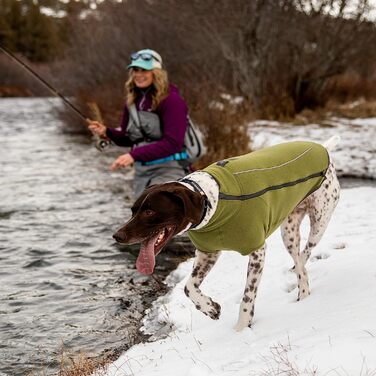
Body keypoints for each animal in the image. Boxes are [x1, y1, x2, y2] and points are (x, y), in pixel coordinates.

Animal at [112, 137, 340, 330]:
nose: (117, 236)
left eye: (150, 211)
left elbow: (247, 297)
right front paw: (210, 308)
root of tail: (322, 146)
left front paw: (241, 329)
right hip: (289, 229)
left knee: (304, 257)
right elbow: (189, 287)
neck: (212, 202)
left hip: (318, 222)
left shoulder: (257, 251)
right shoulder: (207, 253)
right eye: (133, 210)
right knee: (301, 262)